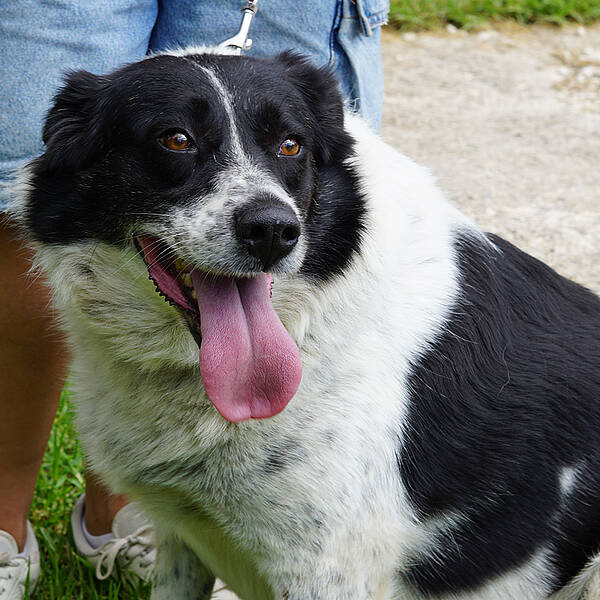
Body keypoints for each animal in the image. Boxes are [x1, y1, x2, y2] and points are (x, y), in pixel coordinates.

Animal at [12, 47, 600, 600]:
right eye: (176, 139)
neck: (306, 325)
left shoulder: (327, 570)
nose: (273, 230)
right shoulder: (182, 536)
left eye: (291, 145)